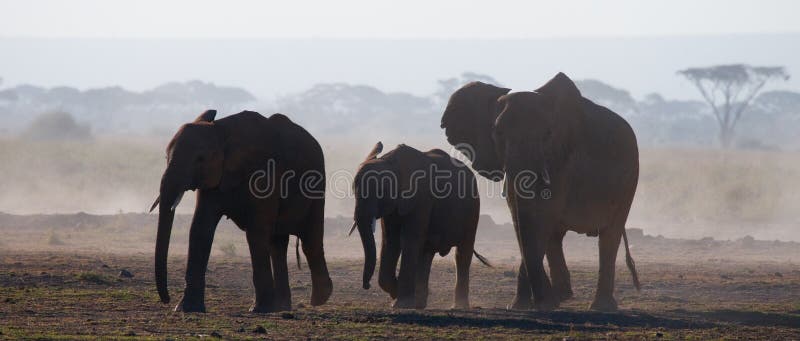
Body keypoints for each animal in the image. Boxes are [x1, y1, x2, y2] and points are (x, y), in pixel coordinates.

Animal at [152, 110, 332, 312]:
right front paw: (186, 308)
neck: (221, 131)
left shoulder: (264, 173)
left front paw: (260, 309)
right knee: (278, 244)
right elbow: (201, 229)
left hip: (316, 186)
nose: (166, 299)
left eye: (200, 159)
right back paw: (282, 307)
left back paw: (319, 299)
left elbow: (256, 232)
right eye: (166, 157)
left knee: (310, 240)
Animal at [348, 141, 488, 308]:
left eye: (381, 191)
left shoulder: (421, 197)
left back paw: (458, 306)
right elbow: (390, 241)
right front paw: (398, 297)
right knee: (425, 255)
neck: (391, 162)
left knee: (462, 253)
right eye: (353, 191)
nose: (366, 285)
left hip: (472, 209)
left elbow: (410, 240)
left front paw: (400, 303)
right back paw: (420, 303)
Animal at [440, 72, 640, 310]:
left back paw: (598, 306)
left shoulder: (562, 160)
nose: (540, 299)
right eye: (497, 132)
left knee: (609, 236)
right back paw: (563, 295)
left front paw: (535, 304)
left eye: (547, 135)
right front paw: (525, 305)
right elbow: (520, 218)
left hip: (629, 181)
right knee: (555, 236)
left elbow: (542, 217)